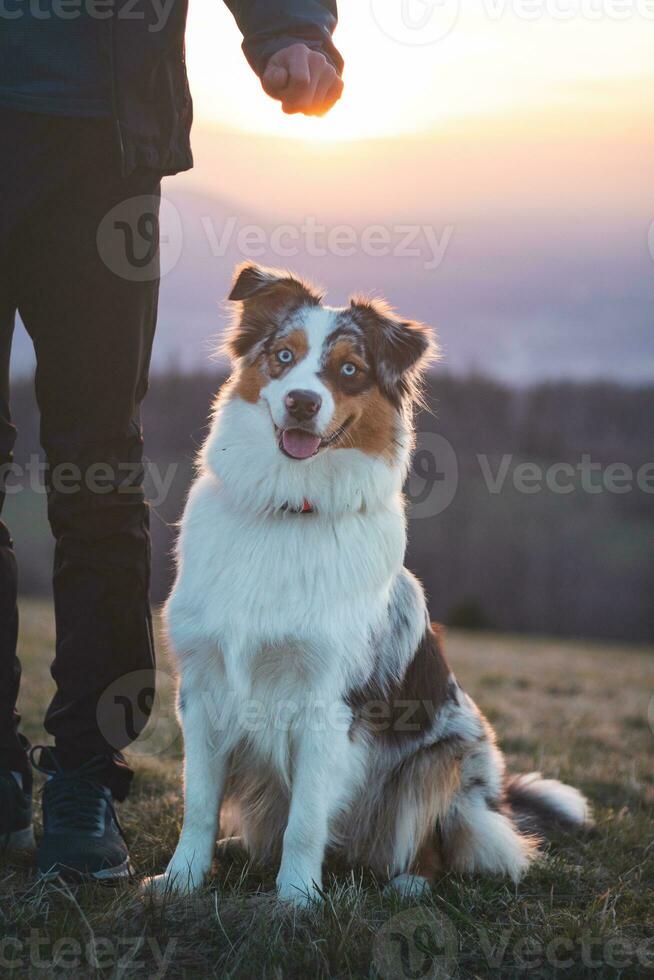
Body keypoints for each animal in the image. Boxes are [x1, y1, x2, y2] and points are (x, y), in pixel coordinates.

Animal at [145, 264, 596, 908]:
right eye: (284, 357)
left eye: (349, 370)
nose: (301, 401)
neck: (290, 508)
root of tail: (498, 800)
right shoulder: (204, 688)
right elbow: (200, 804)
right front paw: (181, 881)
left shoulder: (329, 702)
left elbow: (307, 819)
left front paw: (296, 901)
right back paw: (238, 850)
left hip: (444, 757)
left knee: (429, 842)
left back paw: (409, 882)